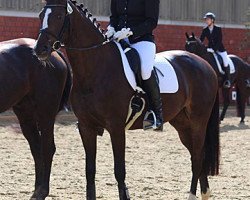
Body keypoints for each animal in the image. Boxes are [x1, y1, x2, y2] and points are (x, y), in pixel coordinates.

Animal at [0, 38, 71, 199]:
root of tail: (54, 52)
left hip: (46, 113)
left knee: (47, 148)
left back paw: (42, 191)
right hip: (25, 115)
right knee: (36, 149)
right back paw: (37, 189)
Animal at [34, 0, 219, 199]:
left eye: (59, 16)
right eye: (41, 15)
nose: (39, 50)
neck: (95, 69)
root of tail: (205, 65)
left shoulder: (116, 128)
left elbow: (119, 171)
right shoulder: (86, 127)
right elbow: (89, 170)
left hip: (198, 121)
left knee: (198, 156)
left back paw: (192, 194)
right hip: (182, 123)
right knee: (196, 154)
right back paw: (205, 192)